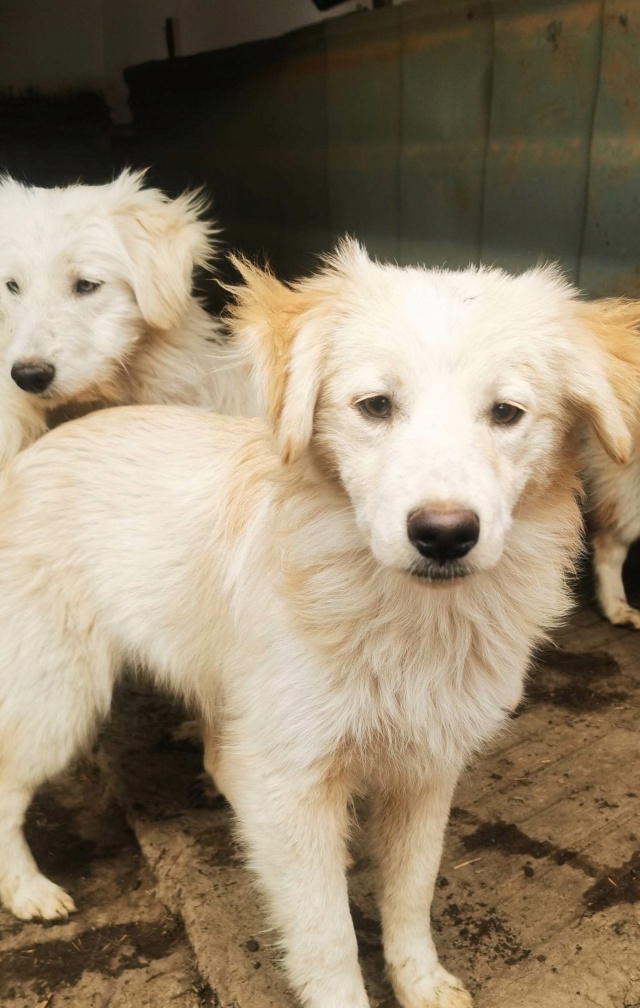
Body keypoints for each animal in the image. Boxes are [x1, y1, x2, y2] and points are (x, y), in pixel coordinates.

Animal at [1, 243, 640, 1008]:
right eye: (375, 406)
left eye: (507, 412)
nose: (445, 535)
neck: (405, 618)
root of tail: (36, 452)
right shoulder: (297, 781)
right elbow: (328, 934)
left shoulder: (429, 768)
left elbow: (412, 891)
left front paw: (421, 981)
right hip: (56, 697)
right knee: (7, 785)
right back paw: (28, 890)